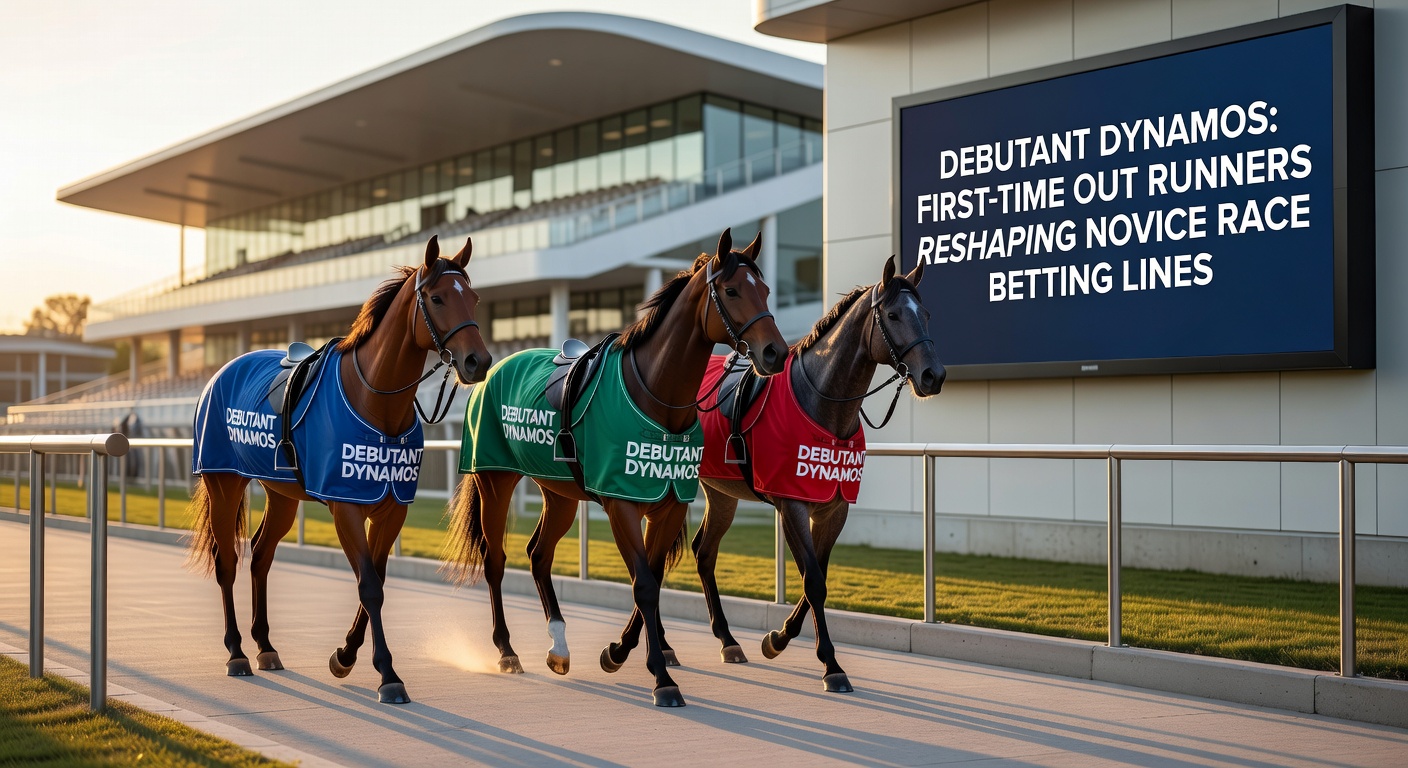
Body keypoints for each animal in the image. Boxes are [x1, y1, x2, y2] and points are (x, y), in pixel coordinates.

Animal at [185, 236, 490, 705]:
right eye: (438, 298)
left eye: (473, 298)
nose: (478, 361)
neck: (376, 402)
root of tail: (220, 373)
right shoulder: (345, 506)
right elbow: (369, 586)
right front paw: (387, 674)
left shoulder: (391, 508)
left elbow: (376, 580)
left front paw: (345, 656)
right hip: (224, 483)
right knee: (227, 561)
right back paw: (236, 652)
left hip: (281, 495)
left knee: (261, 556)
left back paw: (265, 646)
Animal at [442, 228, 787, 707]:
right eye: (733, 290)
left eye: (767, 290)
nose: (775, 352)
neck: (657, 398)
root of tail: (491, 369)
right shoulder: (621, 503)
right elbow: (643, 584)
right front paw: (660, 677)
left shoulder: (669, 505)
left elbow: (653, 580)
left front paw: (622, 651)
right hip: (496, 481)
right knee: (496, 560)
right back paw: (507, 651)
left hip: (559, 493)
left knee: (539, 554)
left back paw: (559, 646)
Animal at [689, 255, 945, 692]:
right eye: (893, 314)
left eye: (925, 314)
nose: (933, 375)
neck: (821, 404)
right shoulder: (790, 504)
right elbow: (813, 581)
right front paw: (831, 665)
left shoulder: (833, 508)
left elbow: (818, 577)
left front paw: (777, 639)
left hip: (721, 494)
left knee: (704, 552)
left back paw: (727, 640)